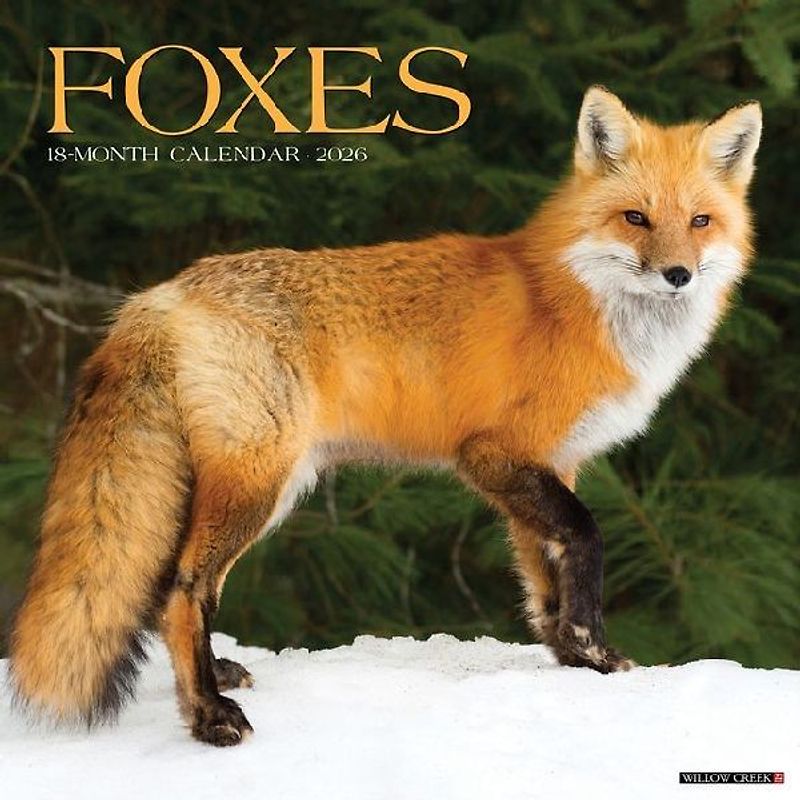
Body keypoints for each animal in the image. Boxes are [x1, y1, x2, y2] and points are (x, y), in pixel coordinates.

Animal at [9, 86, 762, 746]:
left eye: (700, 223)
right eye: (636, 218)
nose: (677, 275)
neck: (580, 303)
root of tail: (158, 296)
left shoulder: (549, 465)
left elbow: (544, 581)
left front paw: (572, 658)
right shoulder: (495, 454)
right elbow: (585, 540)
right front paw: (596, 649)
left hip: (261, 487)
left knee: (185, 590)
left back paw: (211, 679)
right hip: (256, 484)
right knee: (181, 589)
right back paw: (208, 716)